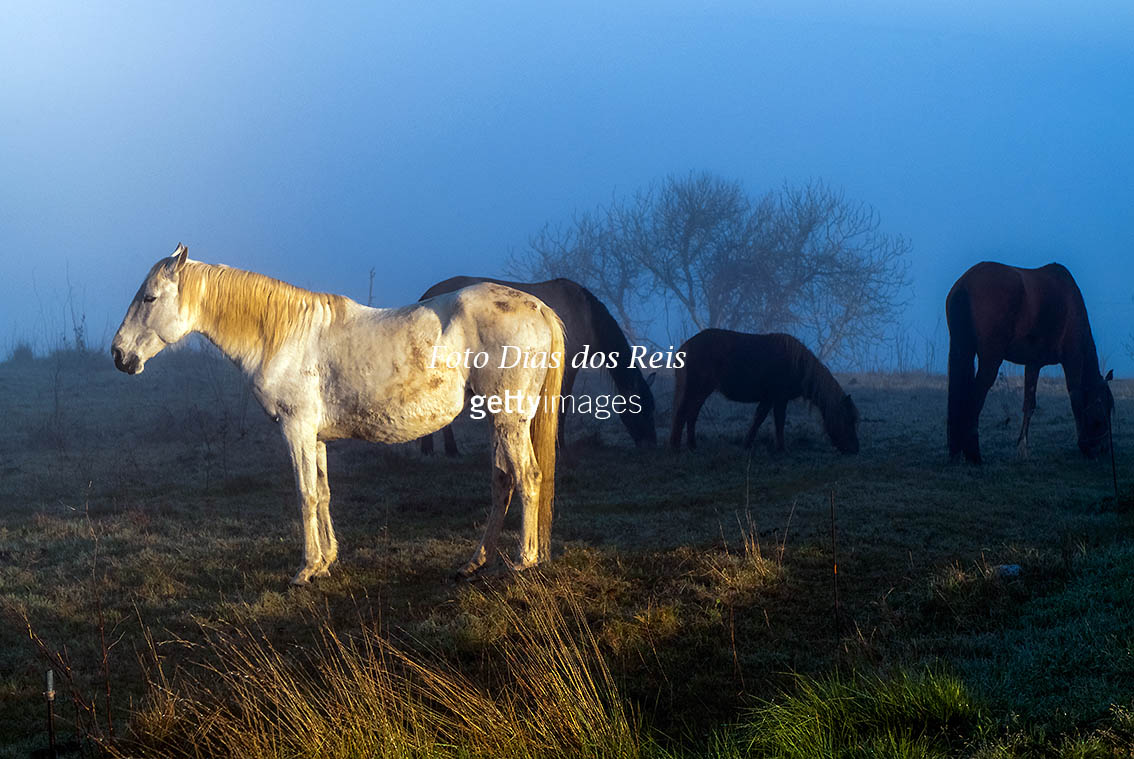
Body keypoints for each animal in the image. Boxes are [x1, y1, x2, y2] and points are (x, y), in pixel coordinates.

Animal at [112, 243, 564, 585]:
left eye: (150, 298)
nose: (119, 355)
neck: (284, 337)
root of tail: (539, 308)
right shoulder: (314, 437)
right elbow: (324, 493)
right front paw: (326, 562)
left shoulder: (295, 430)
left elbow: (305, 495)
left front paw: (305, 570)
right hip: (498, 420)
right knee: (503, 481)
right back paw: (476, 562)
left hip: (509, 420)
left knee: (527, 478)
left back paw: (522, 561)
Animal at [417, 273, 657, 453]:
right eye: (639, 407)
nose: (651, 445)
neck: (586, 317)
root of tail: (426, 298)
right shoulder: (568, 367)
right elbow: (561, 406)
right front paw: (559, 445)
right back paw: (448, 449)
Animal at [662, 329, 857, 453]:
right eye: (848, 419)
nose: (854, 449)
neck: (799, 365)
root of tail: (685, 347)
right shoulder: (779, 398)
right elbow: (778, 421)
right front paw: (781, 448)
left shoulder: (769, 399)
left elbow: (759, 419)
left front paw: (747, 444)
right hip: (696, 388)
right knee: (683, 413)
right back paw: (676, 446)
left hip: (701, 391)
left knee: (691, 414)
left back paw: (692, 445)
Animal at [943, 258, 1111, 462]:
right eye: (1104, 410)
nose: (1103, 448)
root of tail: (966, 282)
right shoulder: (1073, 359)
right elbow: (1076, 398)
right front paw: (1084, 445)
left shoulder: (1033, 364)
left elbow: (1029, 405)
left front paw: (1022, 448)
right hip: (991, 360)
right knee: (976, 395)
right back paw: (974, 455)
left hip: (963, 350)